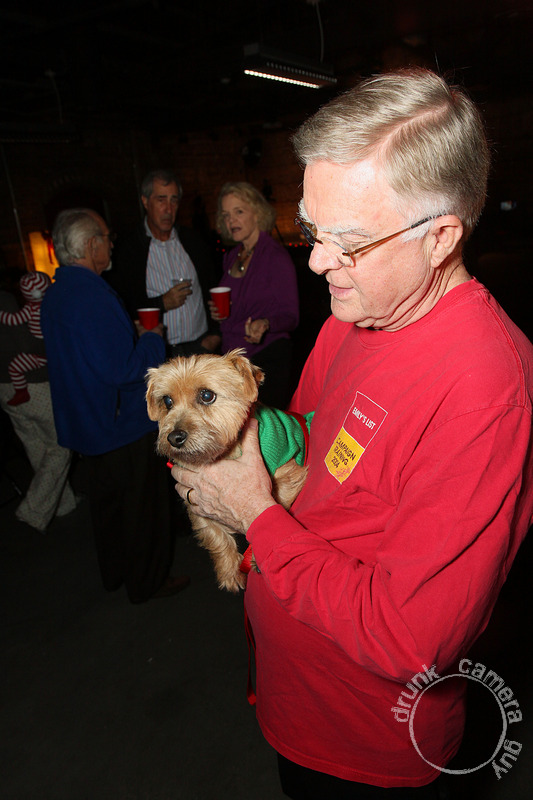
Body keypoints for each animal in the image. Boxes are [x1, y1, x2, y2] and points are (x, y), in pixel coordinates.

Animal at [145, 348, 308, 592]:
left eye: (206, 395)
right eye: (167, 401)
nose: (174, 437)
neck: (225, 453)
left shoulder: (288, 471)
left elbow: (276, 504)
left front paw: (256, 557)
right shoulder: (196, 501)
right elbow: (216, 537)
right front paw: (230, 572)